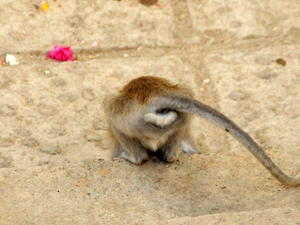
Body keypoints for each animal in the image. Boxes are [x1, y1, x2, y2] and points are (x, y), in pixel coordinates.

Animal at [103, 75, 300, 186]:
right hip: (181, 114)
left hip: (125, 116)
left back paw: (135, 157)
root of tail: (153, 93)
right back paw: (169, 154)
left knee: (110, 111)